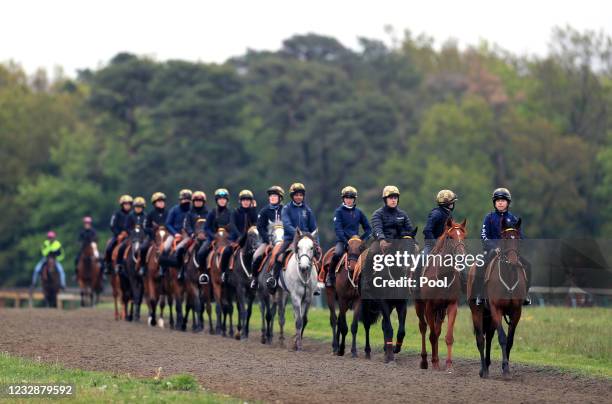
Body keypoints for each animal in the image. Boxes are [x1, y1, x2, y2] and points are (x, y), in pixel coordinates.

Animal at [360, 227, 418, 362]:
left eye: (414, 247)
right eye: (401, 247)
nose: (407, 267)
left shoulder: (401, 303)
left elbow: (401, 331)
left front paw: (395, 349)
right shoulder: (384, 302)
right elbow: (389, 328)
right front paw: (390, 357)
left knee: (382, 325)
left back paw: (386, 349)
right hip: (366, 304)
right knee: (367, 324)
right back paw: (368, 352)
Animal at [414, 218, 466, 372]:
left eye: (464, 236)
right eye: (450, 237)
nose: (461, 255)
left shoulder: (452, 305)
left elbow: (447, 336)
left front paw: (448, 364)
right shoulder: (429, 306)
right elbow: (432, 335)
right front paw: (435, 362)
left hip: (440, 311)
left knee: (437, 330)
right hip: (419, 305)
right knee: (423, 328)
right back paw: (425, 361)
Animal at [468, 218, 524, 378]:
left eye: (518, 238)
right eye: (504, 238)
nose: (513, 261)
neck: (509, 276)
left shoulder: (516, 312)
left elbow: (510, 340)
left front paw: (506, 368)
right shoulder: (496, 309)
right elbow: (502, 338)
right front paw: (505, 369)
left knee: (489, 338)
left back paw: (486, 365)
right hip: (477, 311)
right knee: (481, 339)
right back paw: (483, 370)